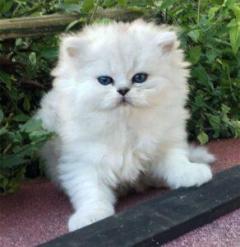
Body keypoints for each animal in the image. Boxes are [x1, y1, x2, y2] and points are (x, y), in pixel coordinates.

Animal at [36, 19, 215, 232]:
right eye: (105, 80)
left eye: (139, 78)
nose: (122, 90)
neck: (124, 124)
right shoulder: (83, 161)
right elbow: (90, 191)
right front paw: (90, 217)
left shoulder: (165, 143)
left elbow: (176, 162)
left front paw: (190, 174)